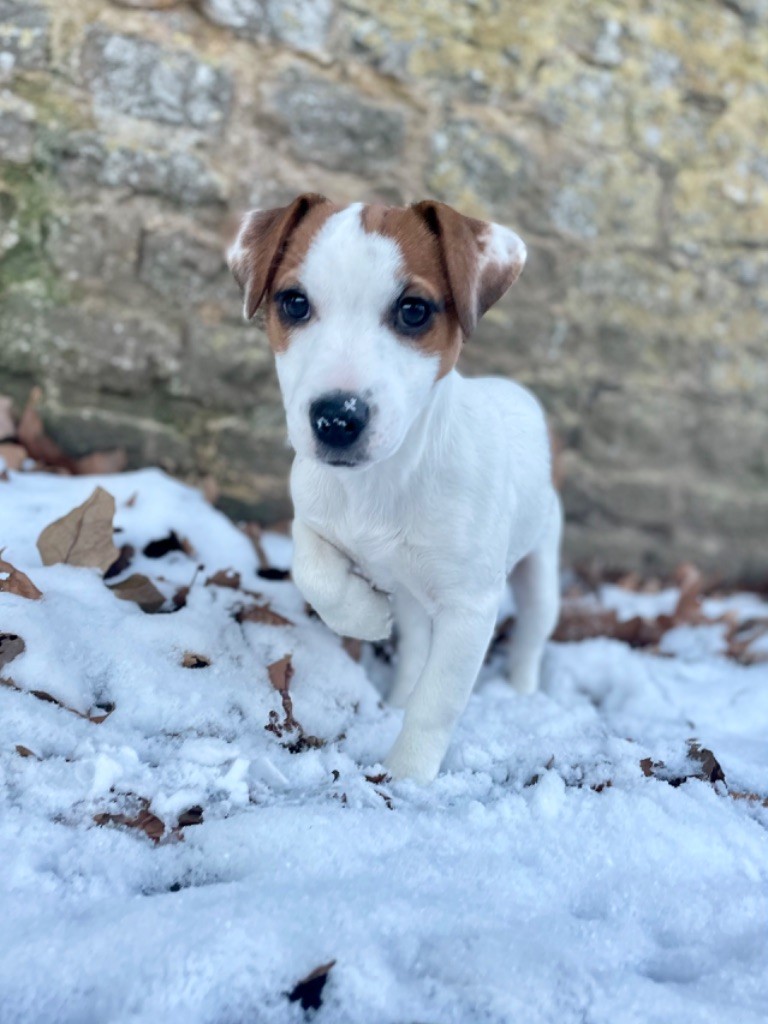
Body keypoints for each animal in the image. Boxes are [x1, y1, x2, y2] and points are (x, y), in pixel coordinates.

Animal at [225, 193, 561, 782]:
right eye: (294, 303)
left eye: (413, 311)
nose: (336, 420)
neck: (381, 481)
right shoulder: (311, 517)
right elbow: (313, 572)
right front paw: (362, 616)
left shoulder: (470, 607)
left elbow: (437, 702)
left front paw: (406, 778)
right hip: (411, 592)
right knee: (415, 644)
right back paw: (397, 692)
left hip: (541, 566)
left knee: (531, 636)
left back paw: (521, 697)